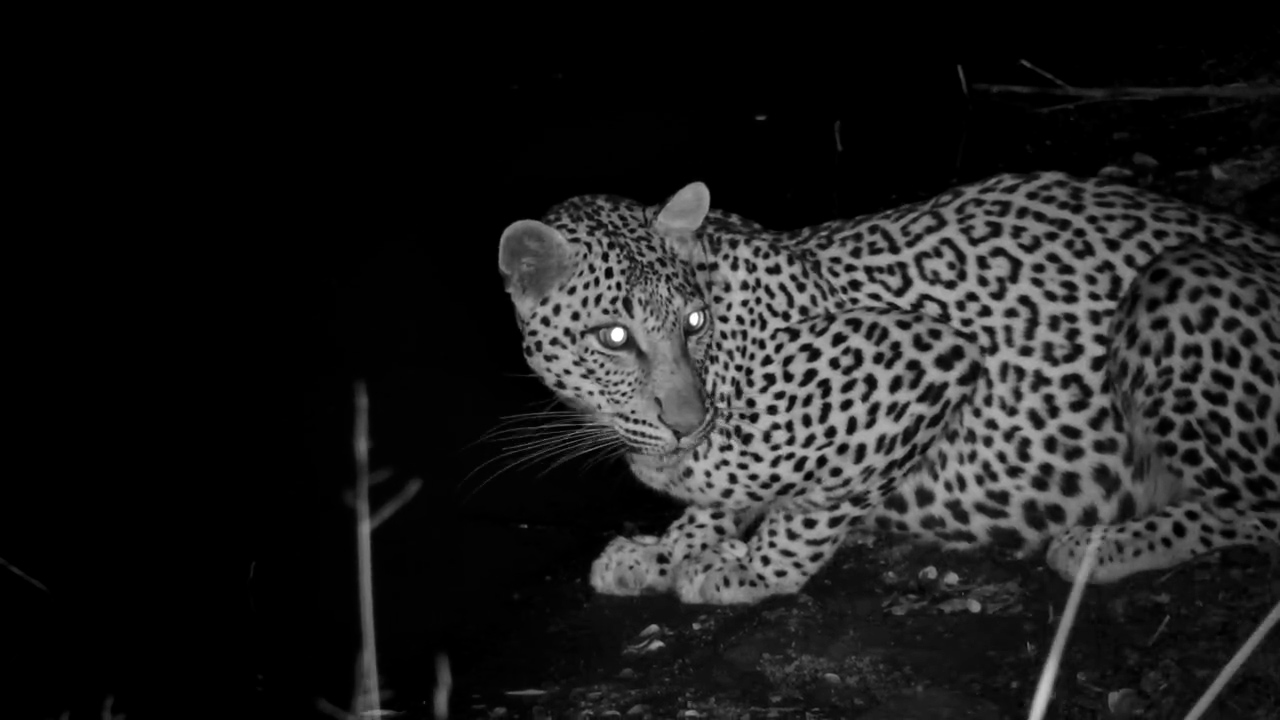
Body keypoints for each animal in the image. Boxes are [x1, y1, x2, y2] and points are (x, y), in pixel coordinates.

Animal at [497, 171, 1280, 605]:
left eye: (693, 322)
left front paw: (750, 570)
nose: (688, 423)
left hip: (1179, 282)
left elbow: (807, 508)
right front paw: (667, 548)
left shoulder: (929, 357)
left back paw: (1103, 545)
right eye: (614, 338)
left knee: (1262, 512)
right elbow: (721, 496)